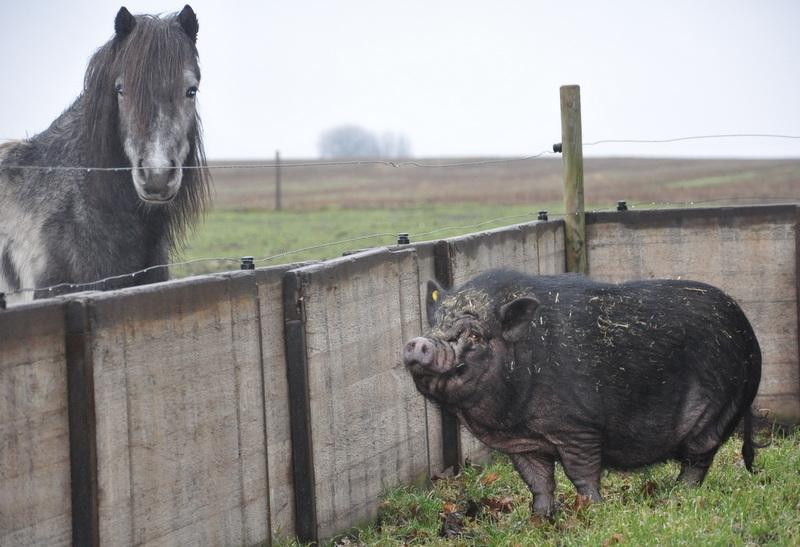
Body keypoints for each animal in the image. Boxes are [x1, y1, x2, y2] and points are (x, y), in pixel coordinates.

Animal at [406, 270, 764, 520]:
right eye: (434, 324)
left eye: (474, 334)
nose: (417, 342)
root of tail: (750, 335)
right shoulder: (523, 444)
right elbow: (538, 481)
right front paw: (539, 517)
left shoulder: (578, 428)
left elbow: (581, 474)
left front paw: (591, 510)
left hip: (716, 410)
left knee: (698, 458)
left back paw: (677, 496)